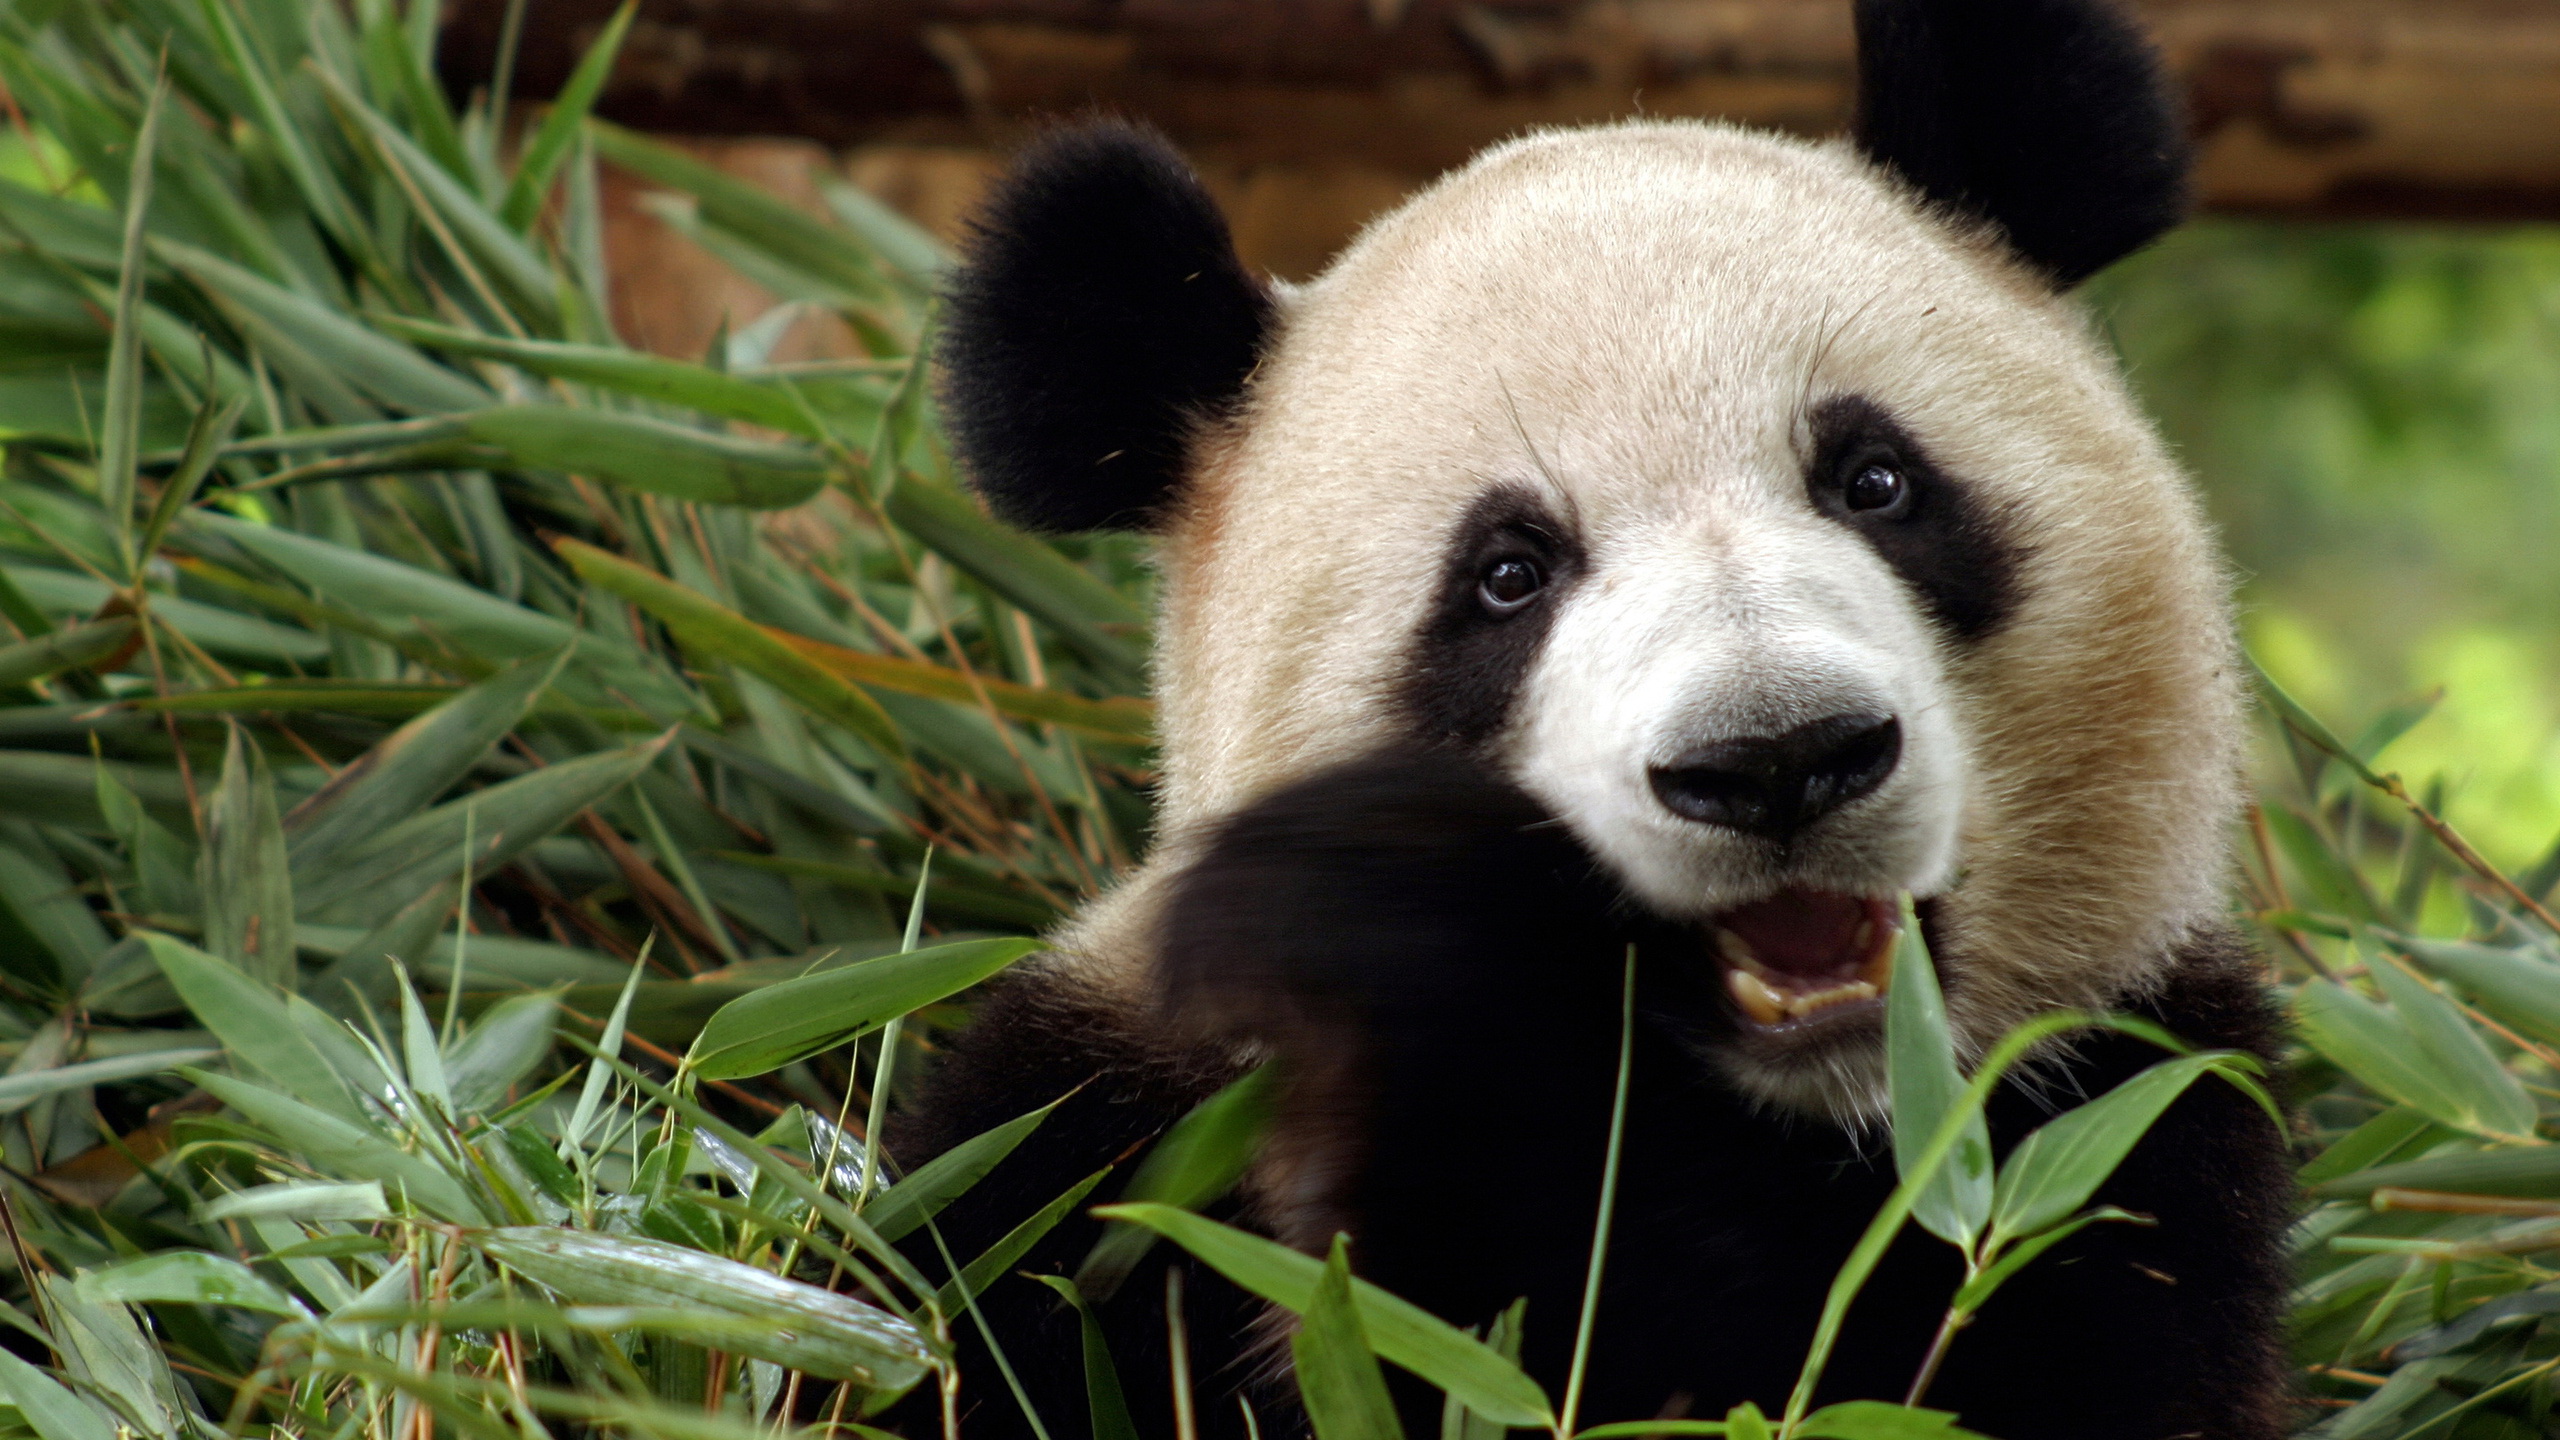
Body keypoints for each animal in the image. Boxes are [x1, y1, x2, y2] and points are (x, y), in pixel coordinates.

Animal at [890, 2, 2293, 1434]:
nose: (1777, 759)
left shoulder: (2124, 1127)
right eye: (1508, 574)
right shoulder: (1086, 1144)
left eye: (1876, 481)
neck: (1802, 1119)